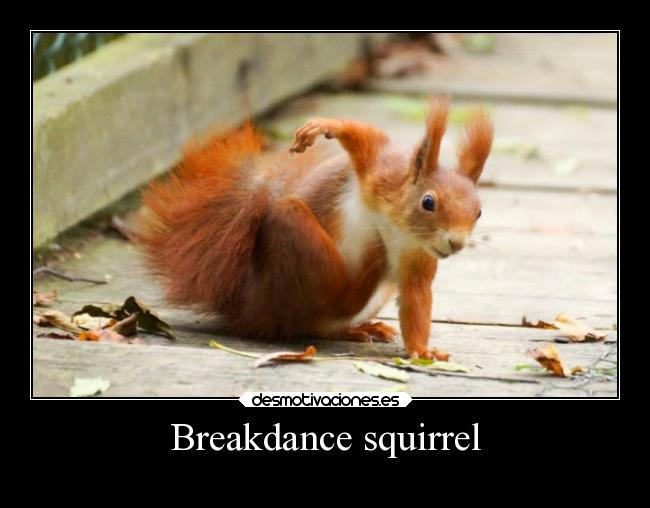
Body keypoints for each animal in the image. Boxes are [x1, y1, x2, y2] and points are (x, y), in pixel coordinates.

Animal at [138, 96, 493, 359]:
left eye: (478, 212)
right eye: (428, 202)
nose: (456, 243)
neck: (397, 227)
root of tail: (250, 307)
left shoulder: (417, 258)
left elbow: (416, 300)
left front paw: (421, 349)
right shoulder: (381, 171)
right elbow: (365, 139)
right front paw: (325, 126)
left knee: (327, 320)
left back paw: (360, 327)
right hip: (297, 246)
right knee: (332, 300)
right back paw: (365, 275)